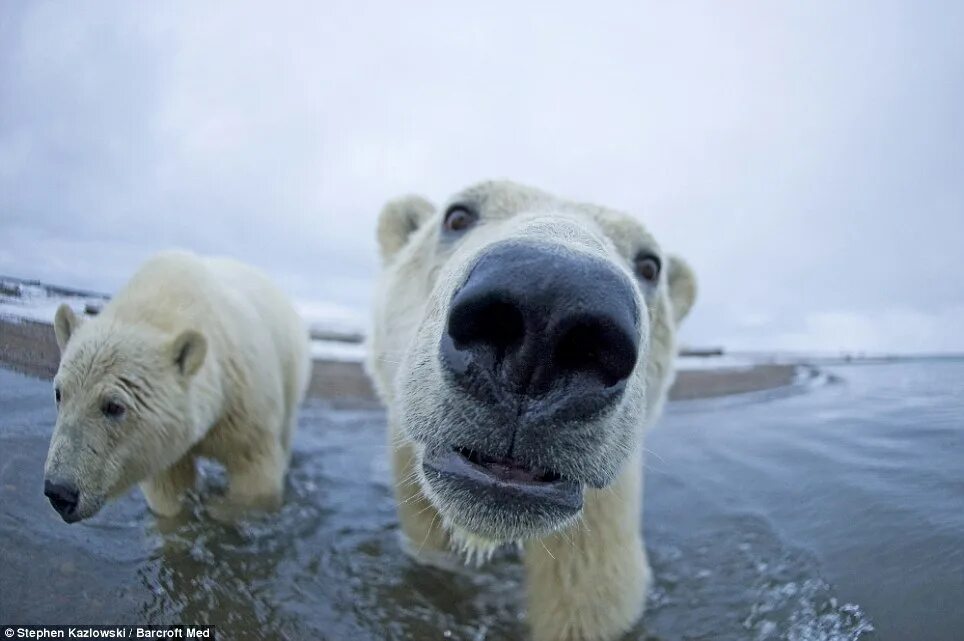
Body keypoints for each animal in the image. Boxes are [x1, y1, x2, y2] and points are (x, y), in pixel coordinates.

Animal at [44, 248, 308, 524]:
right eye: (59, 393)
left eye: (114, 406)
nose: (59, 492)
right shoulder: (160, 446)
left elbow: (254, 475)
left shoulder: (244, 406)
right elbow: (169, 494)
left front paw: (216, 511)